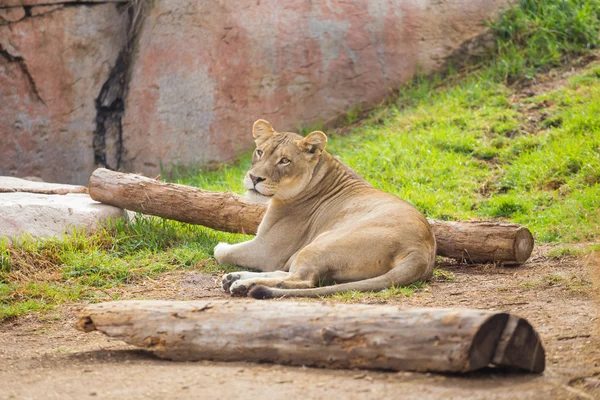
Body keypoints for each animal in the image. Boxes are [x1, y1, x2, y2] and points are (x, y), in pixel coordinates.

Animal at [216, 119, 436, 296]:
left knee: (302, 280)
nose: (254, 178)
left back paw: (243, 285)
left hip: (320, 244)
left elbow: (221, 252)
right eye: (259, 152)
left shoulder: (266, 250)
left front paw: (222, 246)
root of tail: (421, 251)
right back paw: (235, 278)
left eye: (285, 161)